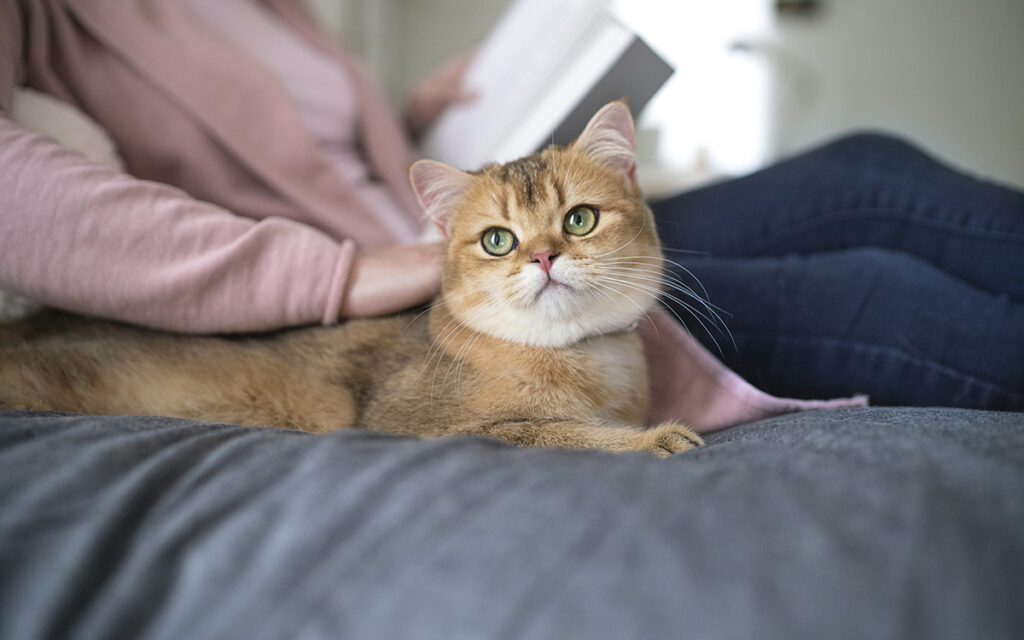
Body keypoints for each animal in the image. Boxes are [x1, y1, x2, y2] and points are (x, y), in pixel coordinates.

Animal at [0, 102, 704, 454]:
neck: (580, 357)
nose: (544, 257)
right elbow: (562, 435)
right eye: (498, 240)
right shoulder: (432, 428)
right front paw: (656, 441)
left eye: (580, 220)